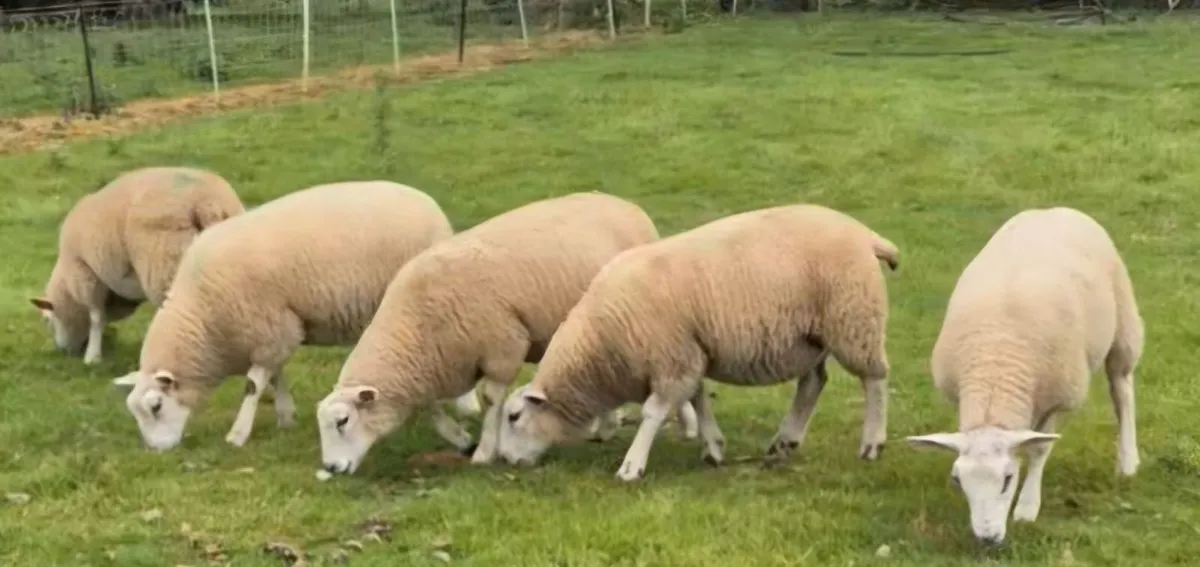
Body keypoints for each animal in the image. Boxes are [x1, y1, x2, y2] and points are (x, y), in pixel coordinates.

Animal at [30, 166, 245, 365]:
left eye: (47, 320)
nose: (62, 351)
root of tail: (209, 204)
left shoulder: (86, 274)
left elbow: (96, 318)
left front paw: (92, 356)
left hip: (165, 266)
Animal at [111, 180, 468, 451]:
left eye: (156, 406)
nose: (158, 451)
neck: (202, 316)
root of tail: (429, 204)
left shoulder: (270, 328)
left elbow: (253, 386)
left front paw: (238, 434)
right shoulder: (271, 335)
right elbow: (274, 376)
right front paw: (286, 416)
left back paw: (467, 405)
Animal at [314, 191, 691, 476]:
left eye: (343, 421)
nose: (331, 468)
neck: (415, 325)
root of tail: (626, 205)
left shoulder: (502, 347)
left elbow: (491, 399)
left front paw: (485, 450)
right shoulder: (435, 366)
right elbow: (433, 409)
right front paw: (460, 438)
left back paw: (684, 425)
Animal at [495, 203, 900, 481]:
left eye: (514, 416)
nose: (505, 460)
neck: (601, 343)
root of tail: (867, 236)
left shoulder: (672, 357)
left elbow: (654, 412)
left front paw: (632, 465)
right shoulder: (688, 356)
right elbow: (697, 399)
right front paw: (713, 448)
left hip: (854, 318)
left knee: (875, 379)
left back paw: (872, 443)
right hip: (812, 336)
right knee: (814, 382)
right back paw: (786, 440)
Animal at [906, 206, 1144, 546]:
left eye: (1007, 479)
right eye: (957, 480)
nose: (987, 538)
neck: (996, 370)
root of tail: (1055, 209)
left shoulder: (1058, 397)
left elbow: (1039, 449)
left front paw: (1027, 508)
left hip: (1123, 324)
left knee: (1122, 391)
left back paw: (1127, 462)